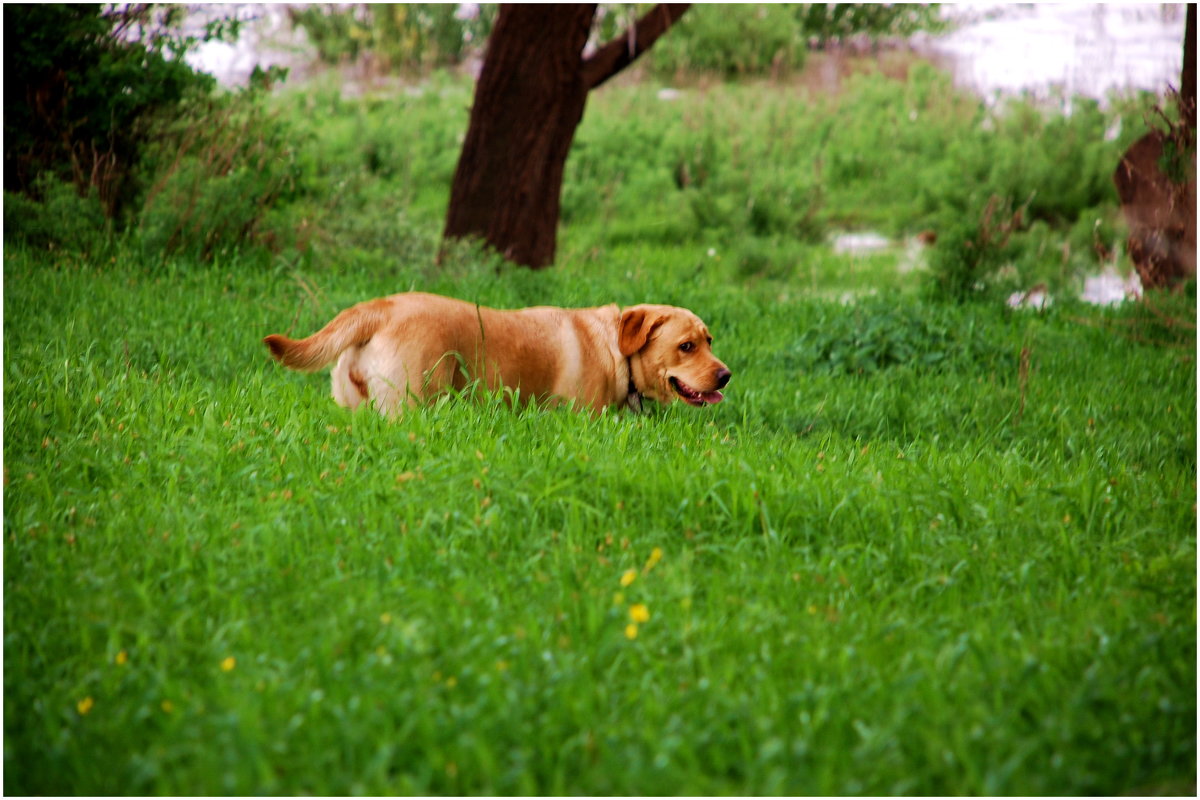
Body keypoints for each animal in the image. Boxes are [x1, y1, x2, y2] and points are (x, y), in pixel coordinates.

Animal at [265, 293, 729, 419]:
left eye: (709, 340)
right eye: (686, 346)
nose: (726, 376)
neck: (615, 347)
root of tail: (379, 308)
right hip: (407, 406)